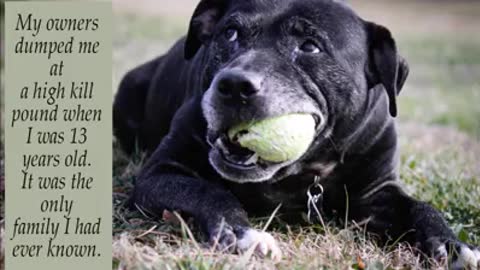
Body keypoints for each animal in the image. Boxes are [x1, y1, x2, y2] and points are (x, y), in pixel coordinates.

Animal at [114, 0, 478, 266]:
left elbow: (421, 207)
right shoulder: (161, 172)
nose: (234, 85)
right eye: (230, 33)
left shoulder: (377, 192)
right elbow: (208, 191)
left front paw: (453, 246)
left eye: (310, 47)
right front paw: (242, 233)